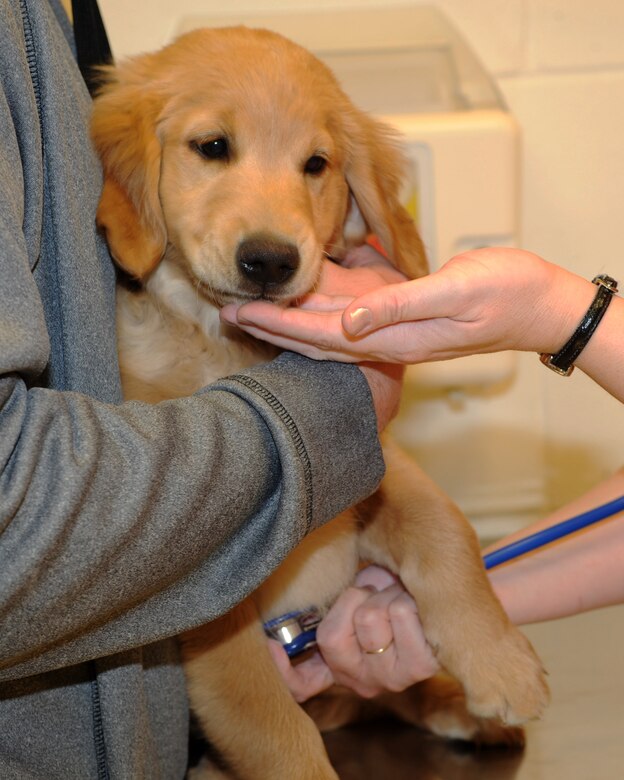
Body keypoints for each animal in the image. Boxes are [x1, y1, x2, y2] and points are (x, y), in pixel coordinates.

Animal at [90, 25, 548, 780]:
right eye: (211, 146)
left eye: (316, 164)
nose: (271, 260)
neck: (227, 347)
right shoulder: (216, 598)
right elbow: (268, 723)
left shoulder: (378, 454)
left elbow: (447, 530)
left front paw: (501, 666)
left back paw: (457, 703)